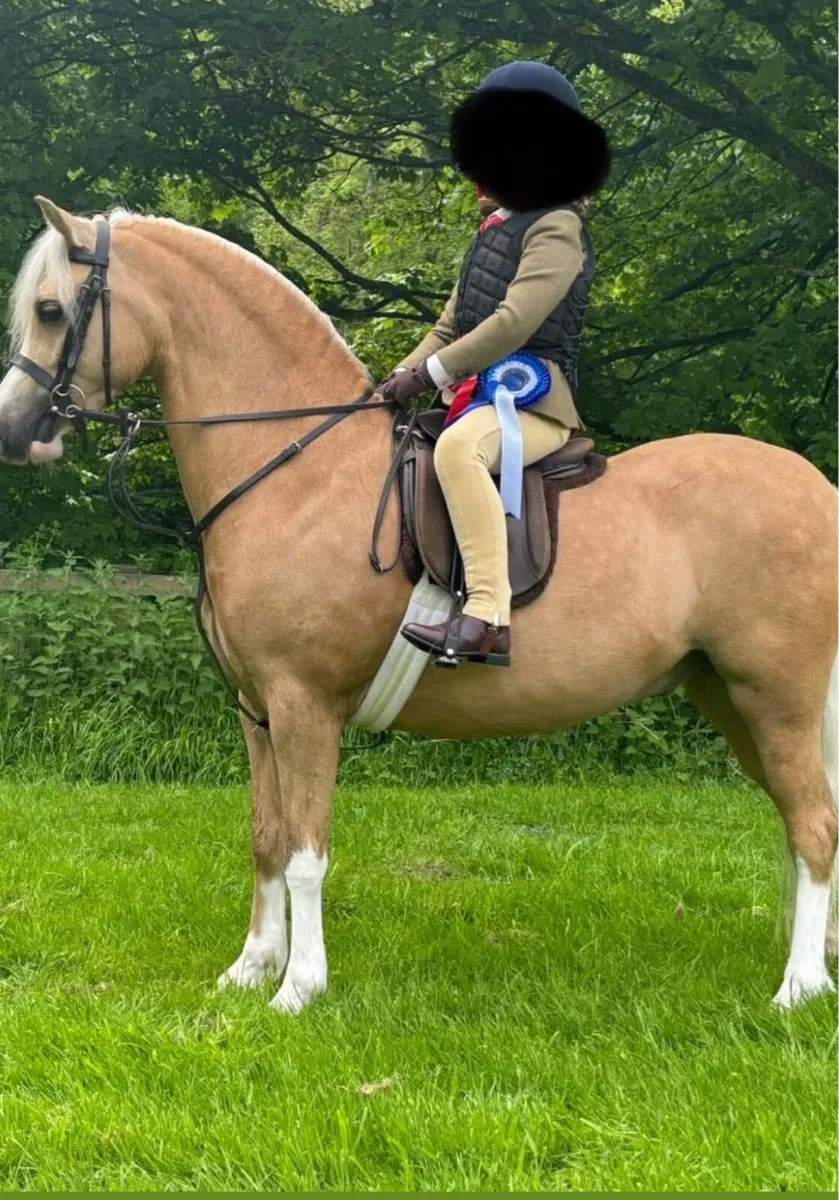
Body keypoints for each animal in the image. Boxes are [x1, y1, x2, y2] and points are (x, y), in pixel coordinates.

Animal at [1, 197, 835, 1015]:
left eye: (51, 309)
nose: (12, 431)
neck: (296, 469)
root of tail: (816, 487)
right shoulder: (256, 710)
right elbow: (266, 837)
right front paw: (251, 968)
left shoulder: (303, 705)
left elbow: (306, 852)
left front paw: (298, 988)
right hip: (727, 697)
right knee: (805, 824)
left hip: (776, 701)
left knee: (813, 826)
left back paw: (796, 988)